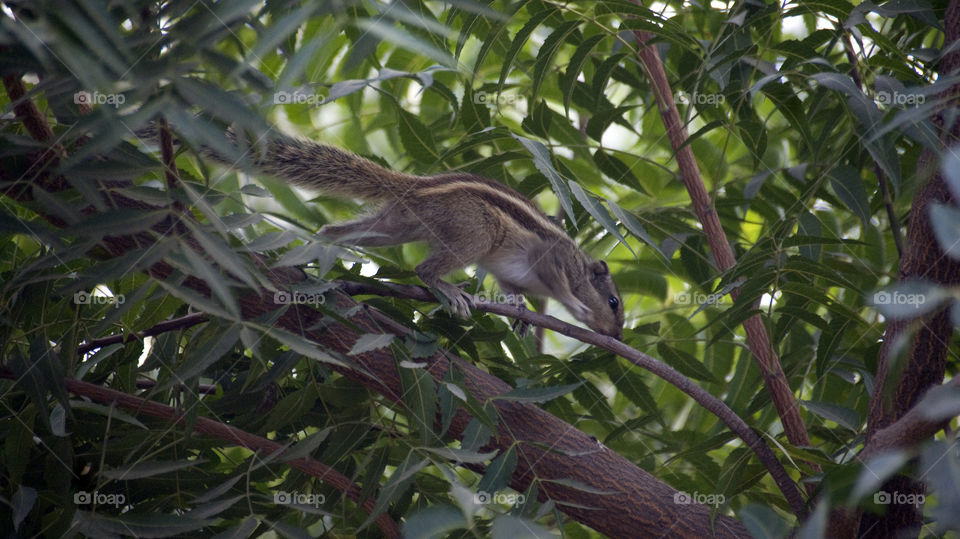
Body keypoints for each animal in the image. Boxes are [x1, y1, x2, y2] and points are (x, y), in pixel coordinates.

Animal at [197, 129, 625, 339]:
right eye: (614, 302)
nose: (618, 337)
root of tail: (415, 187)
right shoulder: (553, 258)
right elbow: (561, 284)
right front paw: (578, 307)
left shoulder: (510, 272)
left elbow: (511, 289)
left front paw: (519, 311)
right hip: (475, 233)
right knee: (424, 270)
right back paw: (449, 290)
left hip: (393, 227)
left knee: (339, 230)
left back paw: (319, 250)